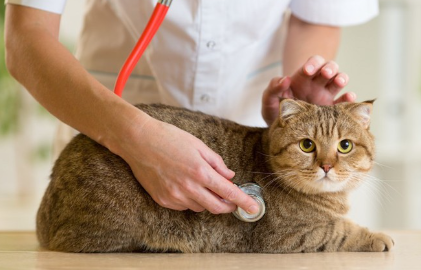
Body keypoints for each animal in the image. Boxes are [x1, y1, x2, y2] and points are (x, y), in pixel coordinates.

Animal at [37, 99, 394, 253]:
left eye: (345, 146)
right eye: (308, 145)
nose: (327, 165)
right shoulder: (288, 236)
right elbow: (342, 231)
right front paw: (378, 236)